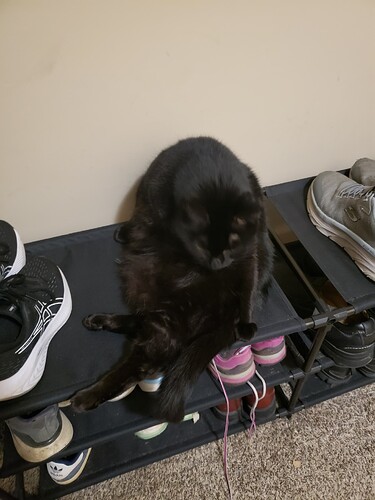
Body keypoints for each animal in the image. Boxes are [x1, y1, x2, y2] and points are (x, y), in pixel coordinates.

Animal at [72, 136, 274, 422]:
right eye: (201, 245)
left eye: (231, 245)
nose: (218, 264)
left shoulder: (248, 252)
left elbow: (249, 280)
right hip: (163, 318)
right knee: (139, 334)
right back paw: (97, 322)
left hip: (169, 322)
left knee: (137, 363)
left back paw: (84, 398)